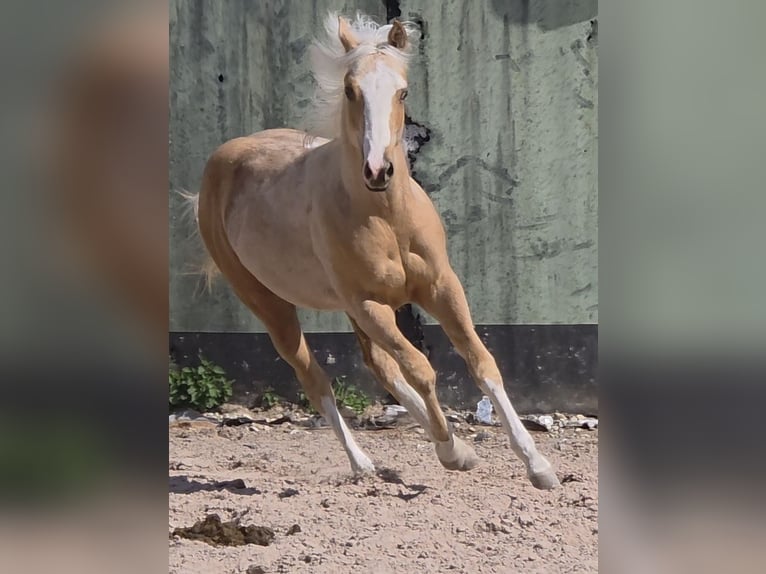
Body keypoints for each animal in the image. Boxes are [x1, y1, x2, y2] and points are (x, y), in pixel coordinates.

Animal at [192, 13, 559, 490]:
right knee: (315, 378)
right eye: (351, 90)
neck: (387, 219)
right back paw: (364, 463)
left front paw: (538, 466)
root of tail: (221, 160)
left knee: (377, 364)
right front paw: (453, 453)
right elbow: (421, 368)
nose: (378, 170)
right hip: (272, 305)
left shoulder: (441, 288)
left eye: (403, 91)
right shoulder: (370, 305)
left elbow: (481, 362)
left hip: (351, 309)